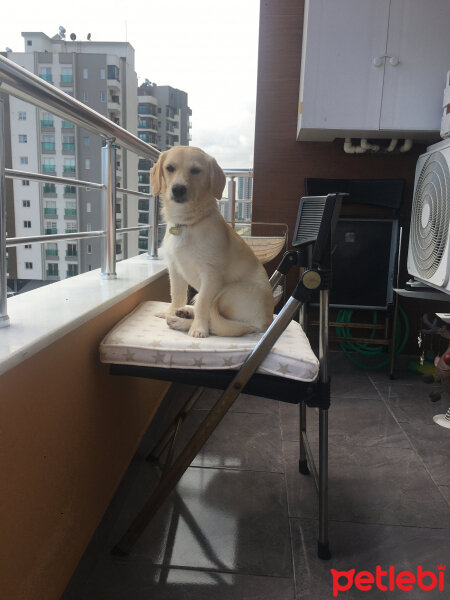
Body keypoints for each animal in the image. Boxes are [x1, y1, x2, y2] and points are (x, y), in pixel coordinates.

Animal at [151, 146, 272, 338]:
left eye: (195, 170)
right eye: (169, 168)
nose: (178, 189)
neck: (187, 223)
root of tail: (266, 323)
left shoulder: (210, 275)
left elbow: (203, 304)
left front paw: (198, 328)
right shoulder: (175, 269)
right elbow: (176, 294)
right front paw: (170, 311)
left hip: (231, 292)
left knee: (216, 322)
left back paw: (182, 322)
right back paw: (182, 313)